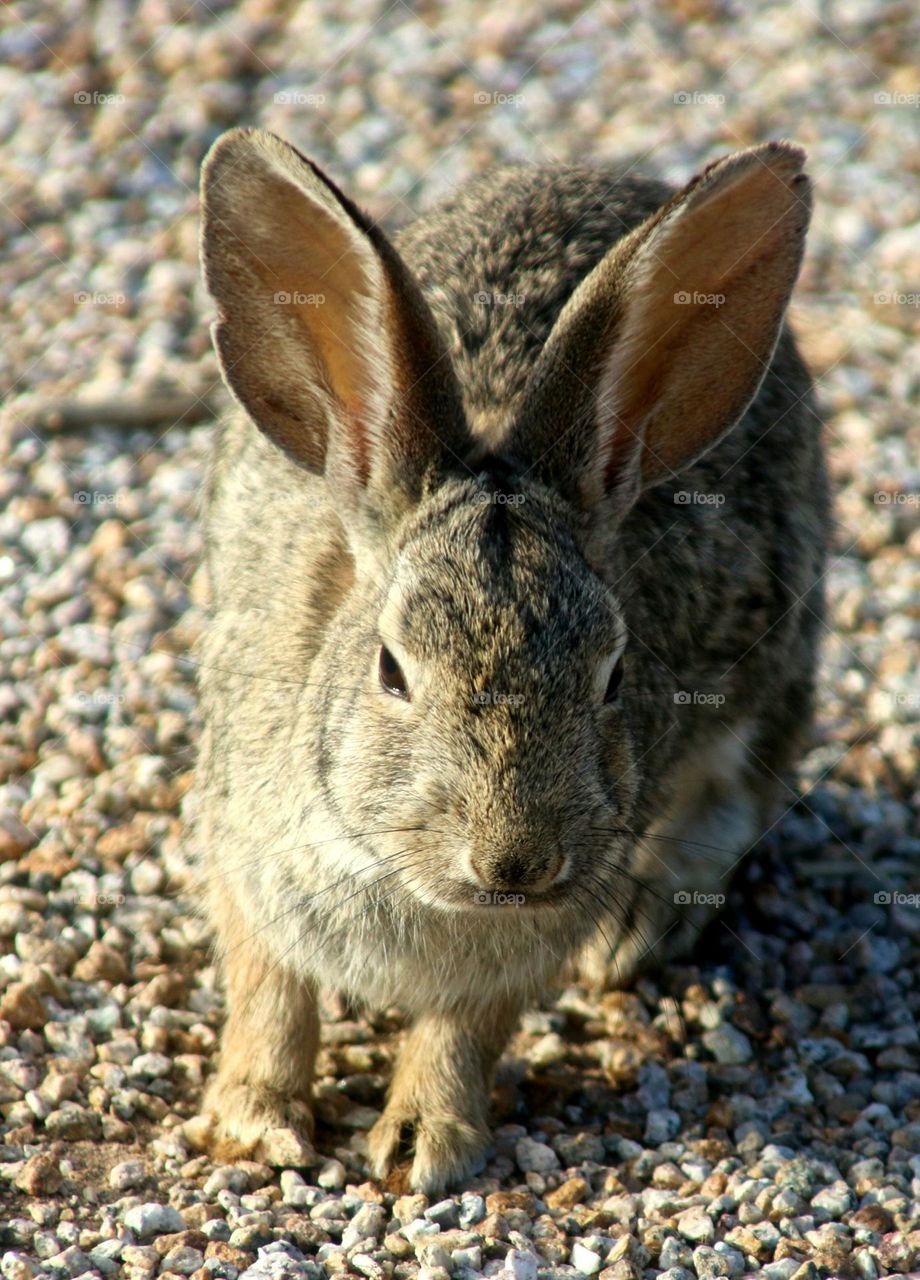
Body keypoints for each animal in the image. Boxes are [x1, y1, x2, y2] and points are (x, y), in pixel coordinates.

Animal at [190, 127, 830, 1192]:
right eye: (392, 670)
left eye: (614, 676)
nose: (516, 861)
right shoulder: (245, 851)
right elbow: (269, 996)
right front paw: (257, 1122)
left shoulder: (516, 952)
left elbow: (462, 1033)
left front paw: (425, 1146)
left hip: (775, 649)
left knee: (745, 784)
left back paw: (639, 925)